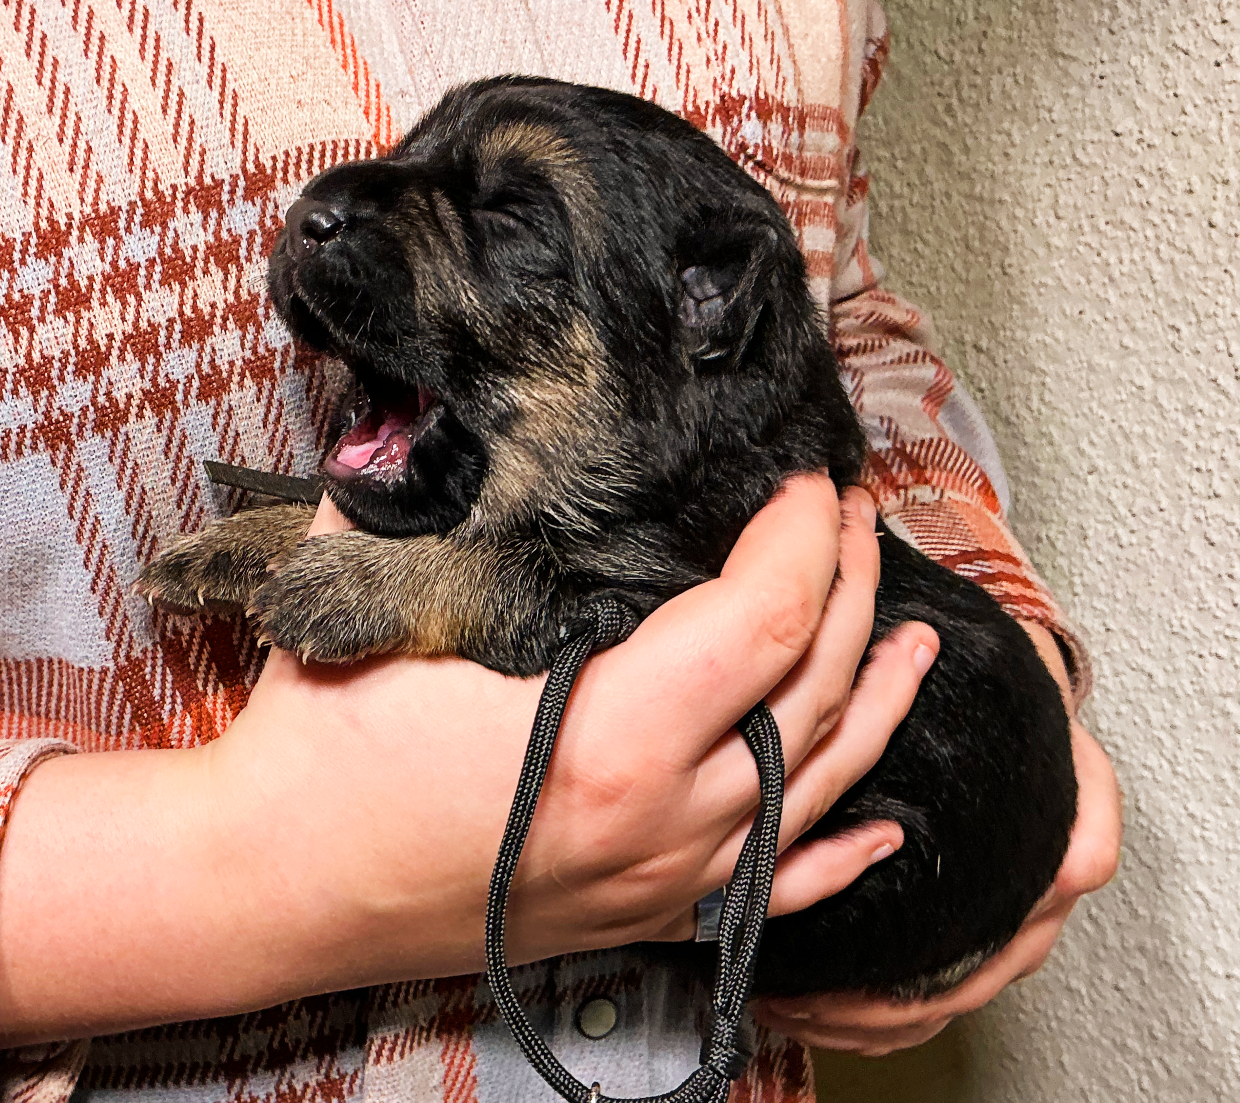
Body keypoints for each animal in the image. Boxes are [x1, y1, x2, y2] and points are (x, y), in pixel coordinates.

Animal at [137, 76, 1077, 999]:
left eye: (510, 216)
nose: (306, 214)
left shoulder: (634, 599)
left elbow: (506, 560)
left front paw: (345, 582)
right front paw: (236, 544)